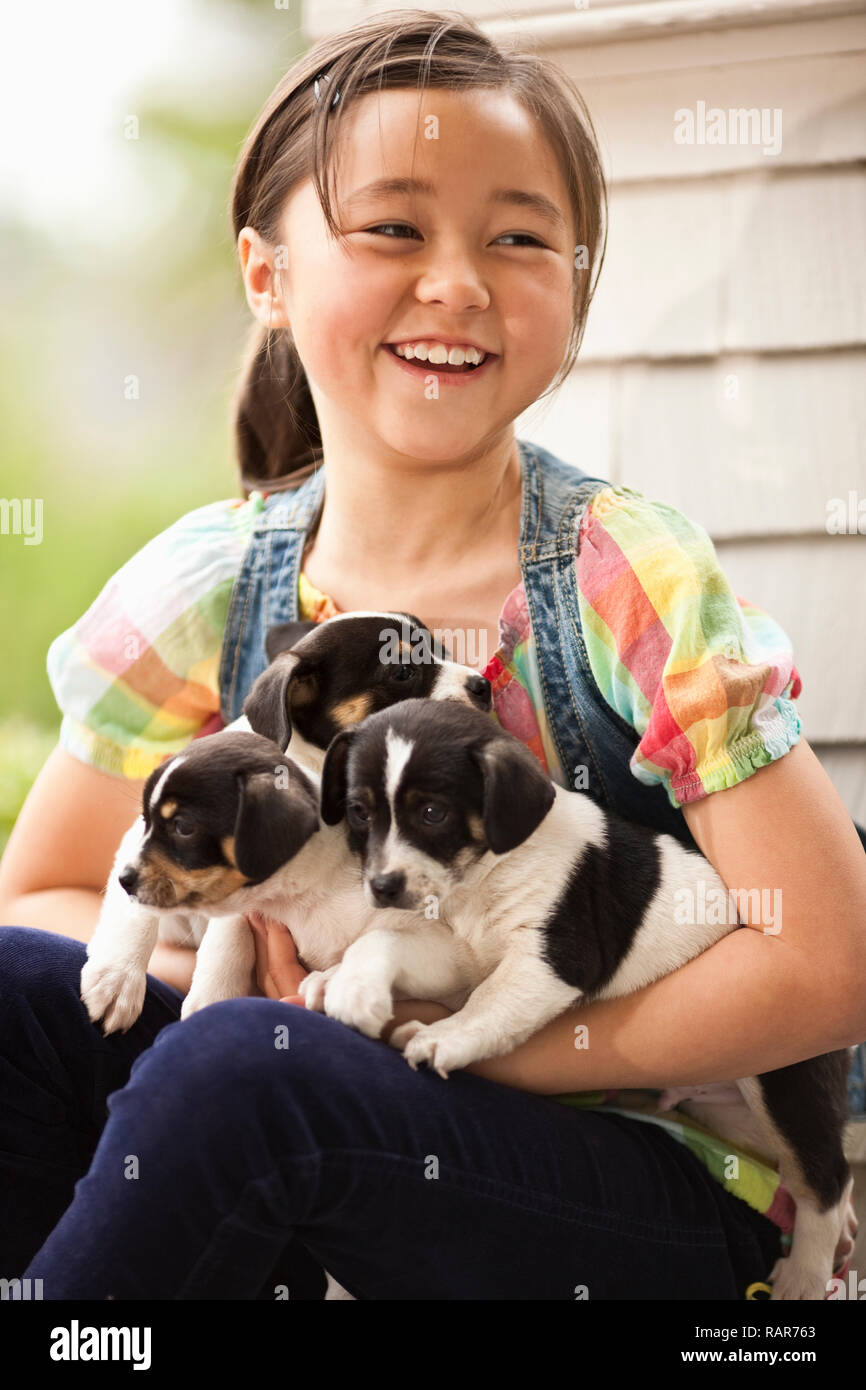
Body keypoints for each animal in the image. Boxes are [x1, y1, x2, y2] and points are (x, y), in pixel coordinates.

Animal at [82, 614, 492, 1039]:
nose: (484, 686)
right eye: (403, 671)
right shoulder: (144, 840)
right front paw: (117, 979)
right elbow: (154, 913)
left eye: (444, 651)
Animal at [316, 700, 856, 1306]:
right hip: (732, 1115)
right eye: (359, 814)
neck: (483, 876)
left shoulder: (551, 957)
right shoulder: (452, 956)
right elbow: (381, 942)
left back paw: (805, 1275)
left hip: (781, 1079)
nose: (382, 887)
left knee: (827, 1177)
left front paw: (444, 1036)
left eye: (432, 813)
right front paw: (343, 983)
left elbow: (489, 1000)